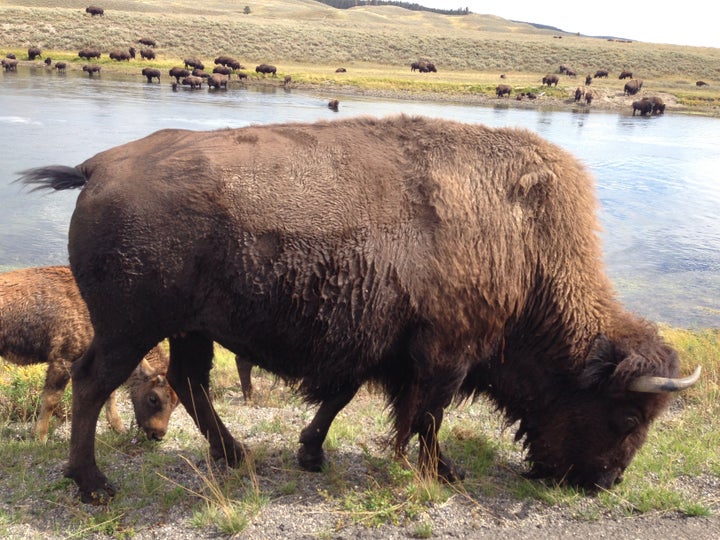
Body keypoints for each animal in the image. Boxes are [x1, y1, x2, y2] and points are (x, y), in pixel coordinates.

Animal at [0, 266, 179, 442]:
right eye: (153, 398)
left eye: (176, 403)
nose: (157, 435)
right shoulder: (63, 360)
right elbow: (52, 399)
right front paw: (40, 438)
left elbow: (110, 396)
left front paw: (119, 429)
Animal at [19, 116, 700, 504]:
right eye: (626, 416)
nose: (604, 483)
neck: (526, 245)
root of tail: (98, 167)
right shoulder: (444, 354)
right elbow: (426, 416)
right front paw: (443, 472)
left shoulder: (376, 349)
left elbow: (342, 399)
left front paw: (311, 454)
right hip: (131, 328)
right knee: (93, 383)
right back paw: (93, 485)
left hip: (189, 328)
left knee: (188, 382)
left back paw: (233, 455)